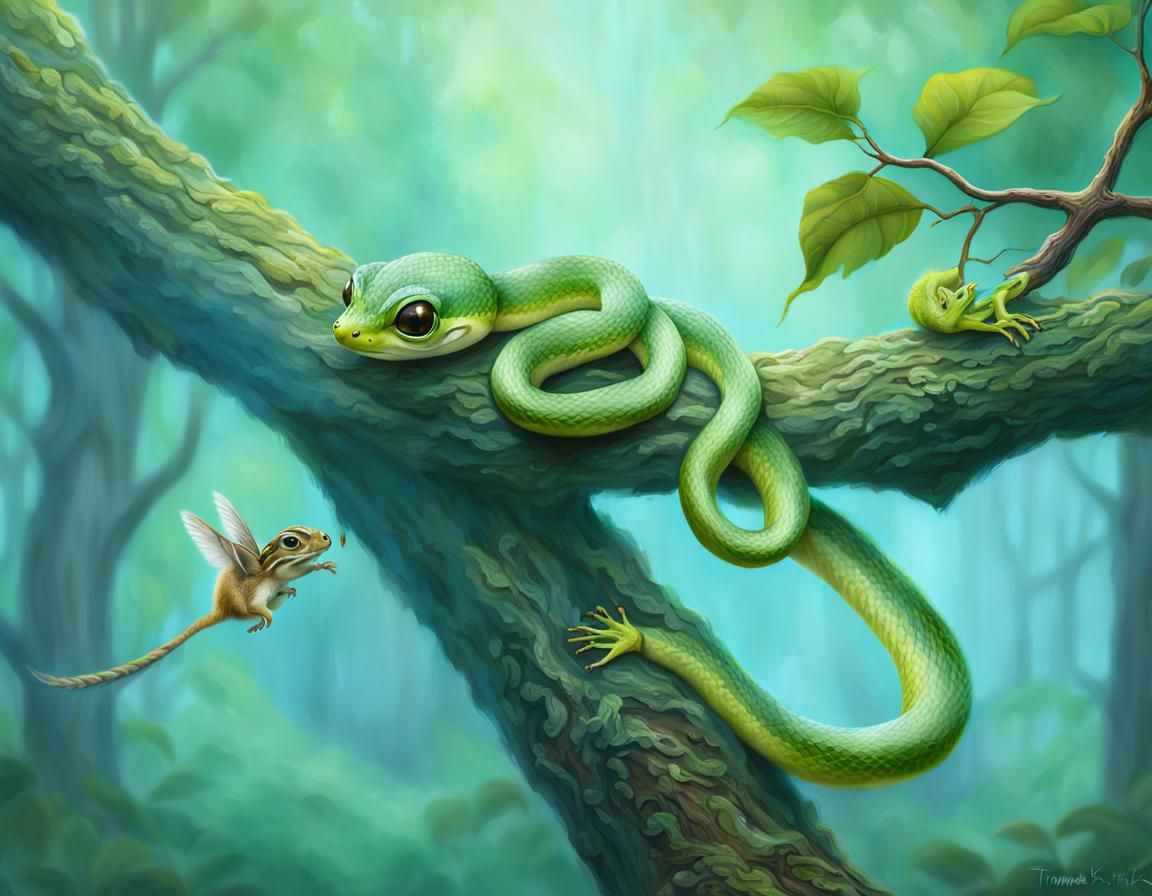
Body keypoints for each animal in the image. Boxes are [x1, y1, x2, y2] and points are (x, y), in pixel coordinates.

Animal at [29, 492, 337, 689]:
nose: (327, 538)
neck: (270, 572)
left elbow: (300, 573)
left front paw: (321, 566)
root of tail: (220, 609)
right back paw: (262, 618)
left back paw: (285, 594)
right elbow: (261, 603)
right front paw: (269, 614)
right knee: (251, 611)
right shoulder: (260, 583)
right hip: (243, 603)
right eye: (291, 541)